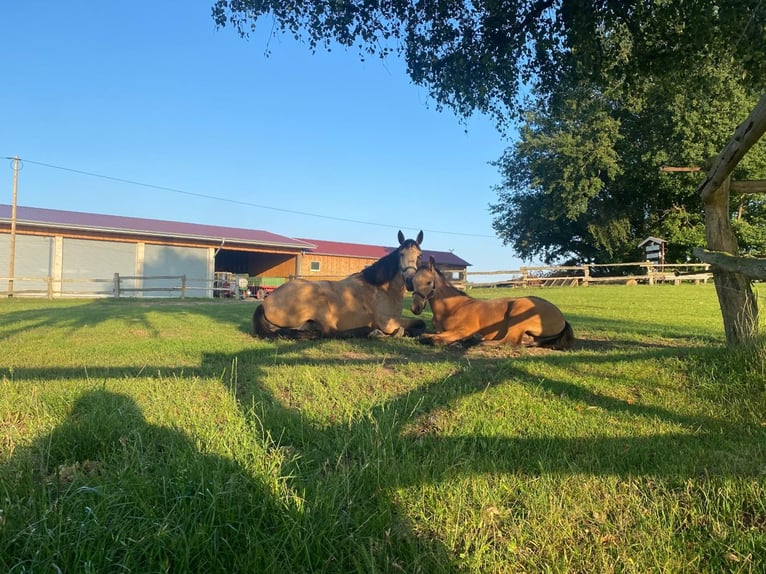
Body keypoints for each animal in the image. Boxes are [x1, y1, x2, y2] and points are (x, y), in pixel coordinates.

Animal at [255, 232, 428, 340]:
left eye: (420, 256)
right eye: (401, 254)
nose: (410, 280)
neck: (382, 289)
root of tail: (267, 301)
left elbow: (420, 323)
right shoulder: (390, 324)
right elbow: (410, 328)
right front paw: (381, 333)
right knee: (329, 332)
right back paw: (368, 331)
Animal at [412, 258, 572, 348]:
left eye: (428, 282)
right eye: (411, 281)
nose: (415, 308)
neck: (452, 308)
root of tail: (562, 318)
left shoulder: (465, 329)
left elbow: (432, 339)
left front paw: (457, 342)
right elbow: (424, 336)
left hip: (518, 314)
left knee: (509, 342)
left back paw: (477, 341)